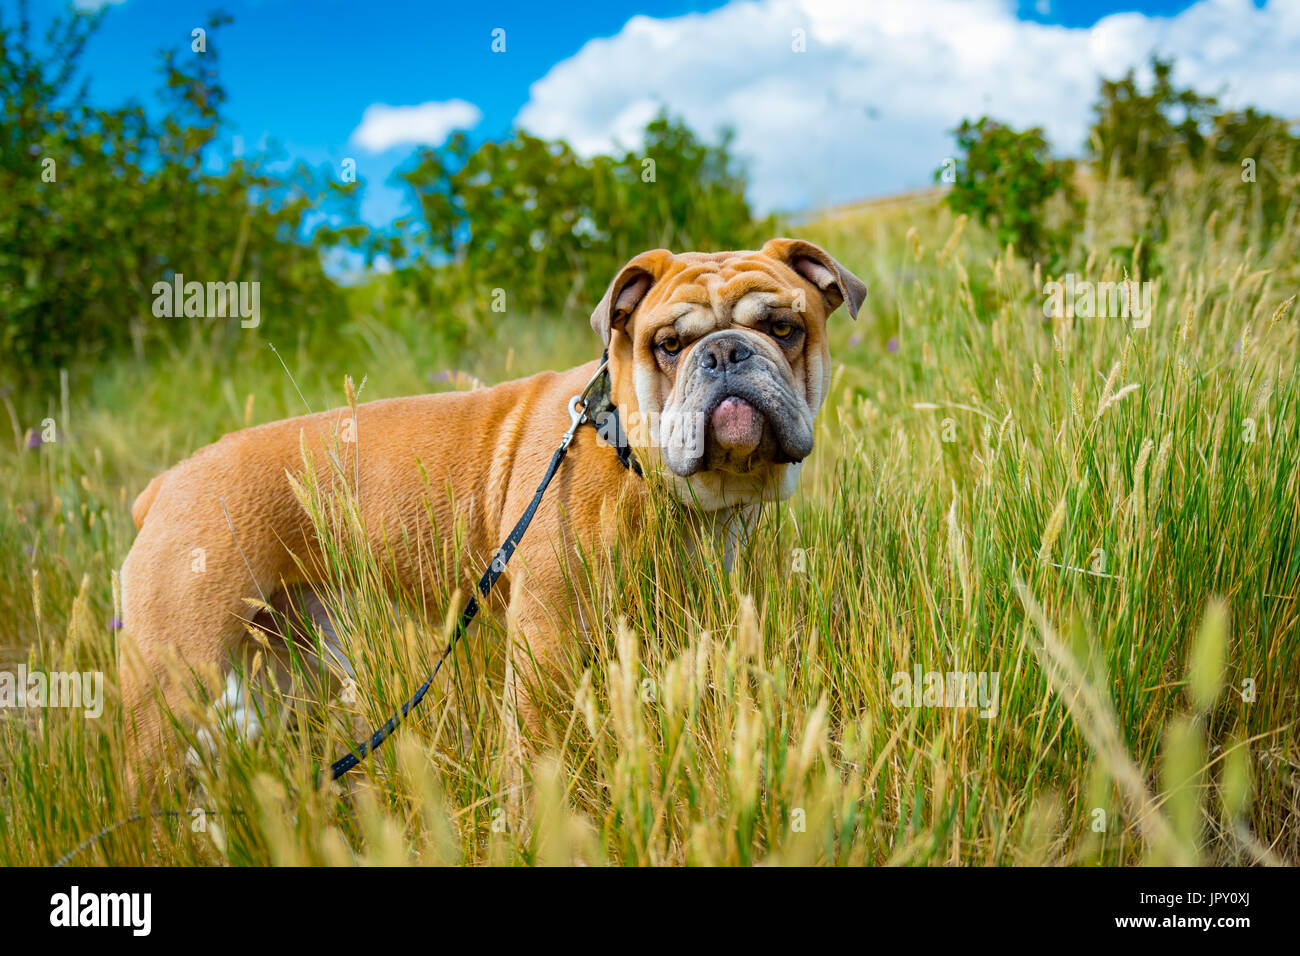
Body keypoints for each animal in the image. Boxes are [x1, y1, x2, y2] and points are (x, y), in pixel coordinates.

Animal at [119, 238, 863, 780]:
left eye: (785, 328)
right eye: (670, 345)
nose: (727, 351)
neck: (629, 454)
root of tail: (164, 486)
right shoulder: (546, 646)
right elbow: (533, 751)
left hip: (284, 667)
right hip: (173, 689)